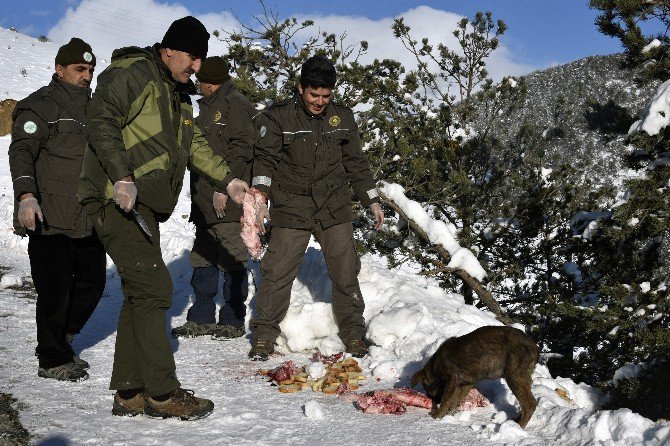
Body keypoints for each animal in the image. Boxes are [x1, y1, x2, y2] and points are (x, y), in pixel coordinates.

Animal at [410, 326, 540, 426]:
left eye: (426, 387)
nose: (433, 401)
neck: (434, 367)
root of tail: (535, 348)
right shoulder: (466, 383)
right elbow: (456, 400)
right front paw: (450, 414)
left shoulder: (453, 377)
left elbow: (447, 399)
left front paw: (437, 416)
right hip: (523, 378)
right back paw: (516, 421)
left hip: (515, 377)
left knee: (530, 404)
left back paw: (519, 426)